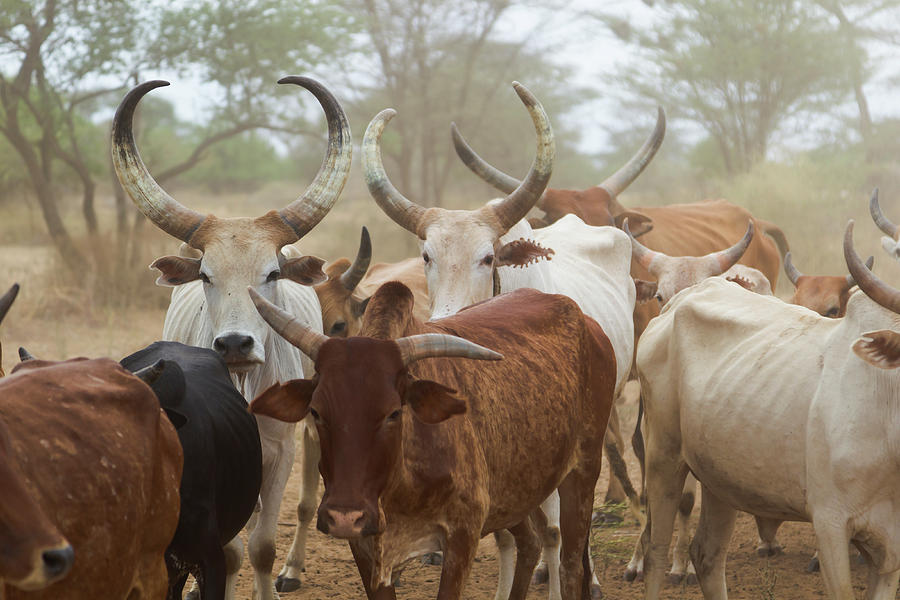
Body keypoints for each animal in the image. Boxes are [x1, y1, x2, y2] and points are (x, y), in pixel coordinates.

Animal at [250, 282, 624, 600]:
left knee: (570, 565)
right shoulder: (366, 547)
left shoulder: (462, 535)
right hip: (519, 487)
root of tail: (590, 325)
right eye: (316, 411)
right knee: (531, 544)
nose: (344, 516)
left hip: (583, 471)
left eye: (393, 412)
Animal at [632, 218, 900, 596]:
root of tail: (676, 304)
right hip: (662, 457)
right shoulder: (830, 525)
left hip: (719, 476)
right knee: (656, 550)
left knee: (708, 554)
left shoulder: (889, 552)